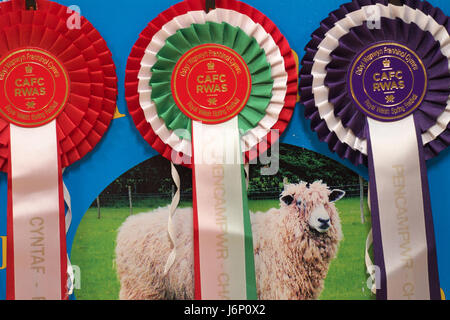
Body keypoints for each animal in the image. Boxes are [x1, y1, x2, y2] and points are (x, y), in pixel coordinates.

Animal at [115, 181, 344, 302]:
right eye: (299, 202)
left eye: (327, 201)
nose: (324, 220)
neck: (278, 236)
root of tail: (128, 225)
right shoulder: (277, 290)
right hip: (142, 288)